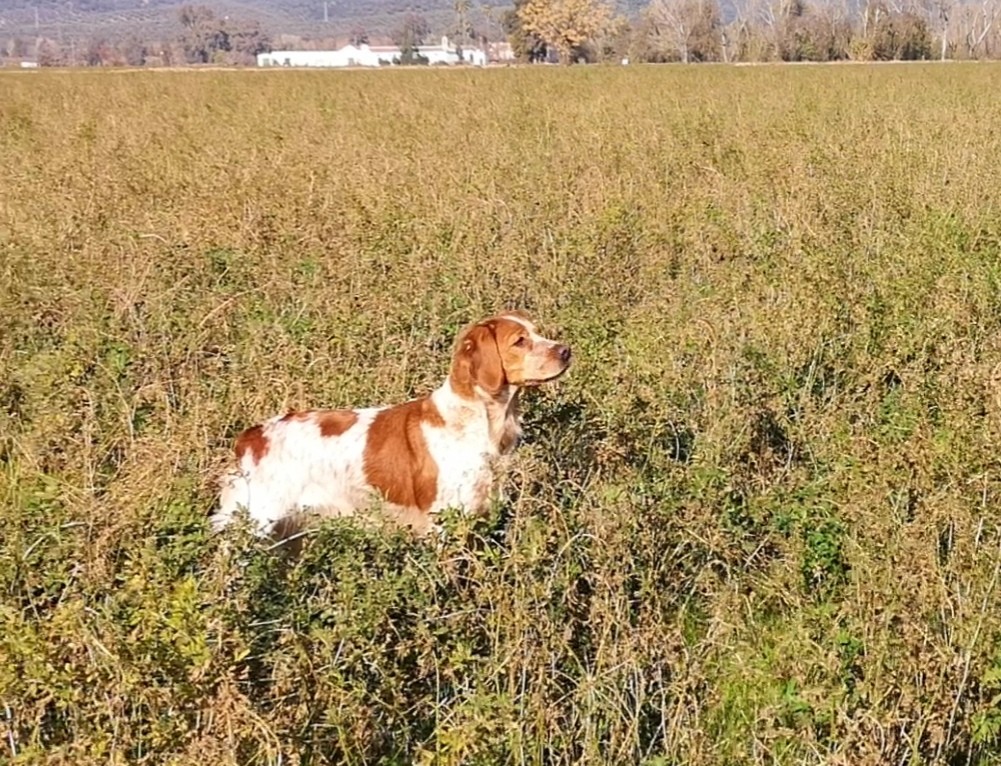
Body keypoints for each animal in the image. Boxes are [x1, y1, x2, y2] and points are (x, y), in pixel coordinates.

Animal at [211, 310, 572, 536]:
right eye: (520, 341)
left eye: (537, 332)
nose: (566, 350)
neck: (476, 418)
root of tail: (252, 437)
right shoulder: (446, 521)